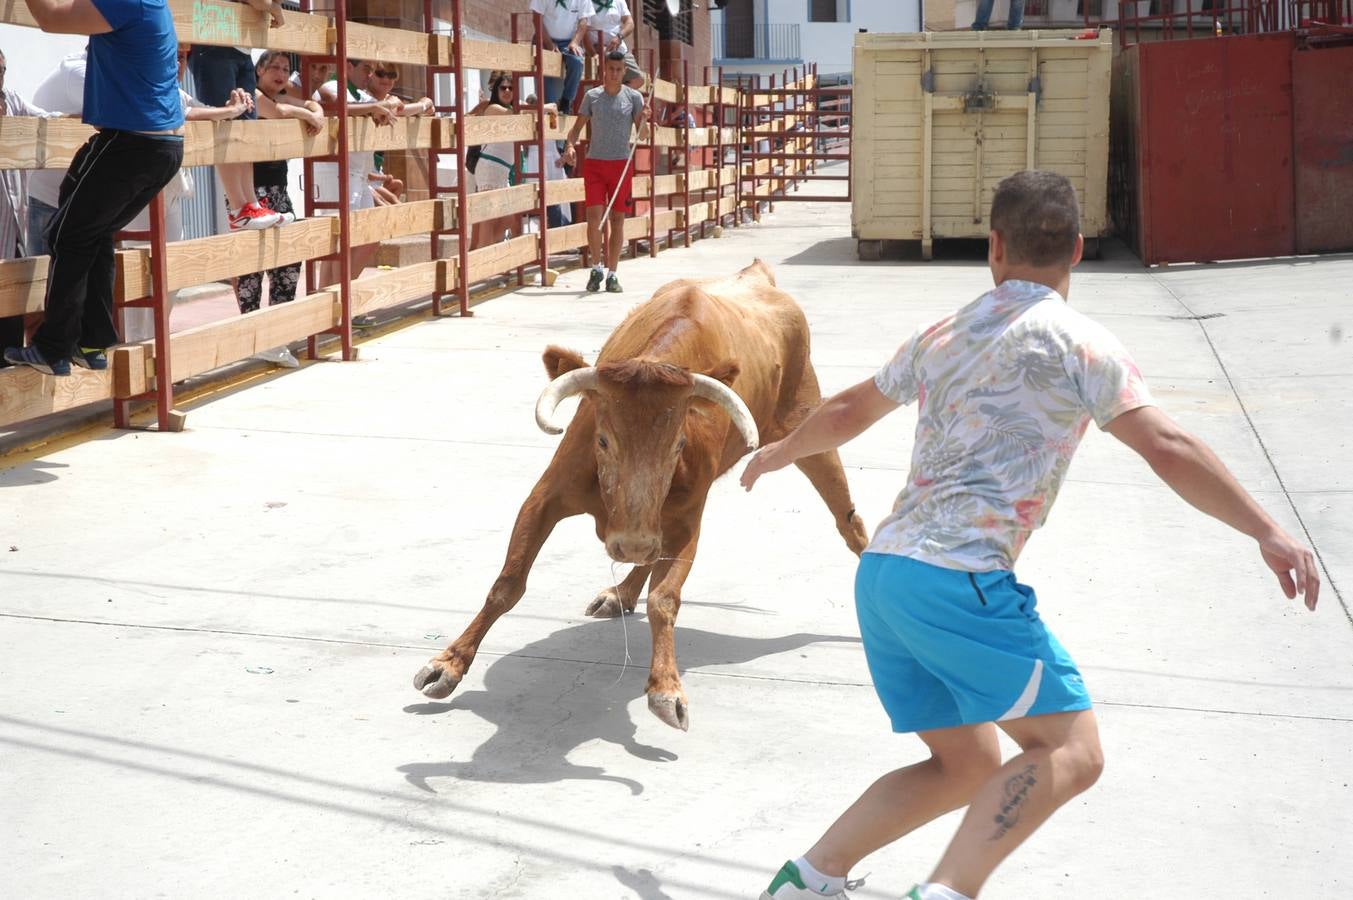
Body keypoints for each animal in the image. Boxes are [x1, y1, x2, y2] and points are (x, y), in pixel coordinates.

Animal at [411, 255, 865, 725]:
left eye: (678, 444)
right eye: (603, 440)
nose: (630, 543)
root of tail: (756, 274)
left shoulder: (684, 523)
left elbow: (664, 598)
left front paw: (666, 687)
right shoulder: (545, 498)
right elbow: (507, 583)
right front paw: (448, 664)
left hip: (809, 427)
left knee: (848, 521)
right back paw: (621, 593)